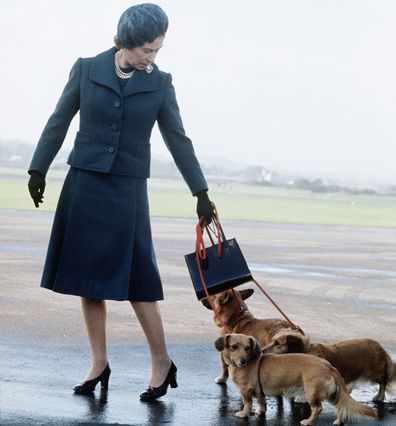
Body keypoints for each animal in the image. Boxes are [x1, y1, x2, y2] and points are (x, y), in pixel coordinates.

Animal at [215, 334, 376, 424]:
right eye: (234, 346)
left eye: (247, 348)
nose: (242, 361)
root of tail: (328, 365)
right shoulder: (259, 392)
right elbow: (261, 402)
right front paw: (260, 412)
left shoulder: (246, 391)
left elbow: (247, 404)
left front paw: (243, 414)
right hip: (332, 394)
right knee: (340, 407)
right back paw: (338, 422)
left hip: (312, 393)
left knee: (318, 408)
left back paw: (308, 422)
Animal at [262, 330, 394, 402]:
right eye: (272, 340)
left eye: (277, 343)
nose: (262, 351)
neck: (305, 351)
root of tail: (379, 346)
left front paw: (302, 398)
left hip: (374, 373)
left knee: (383, 382)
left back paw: (379, 396)